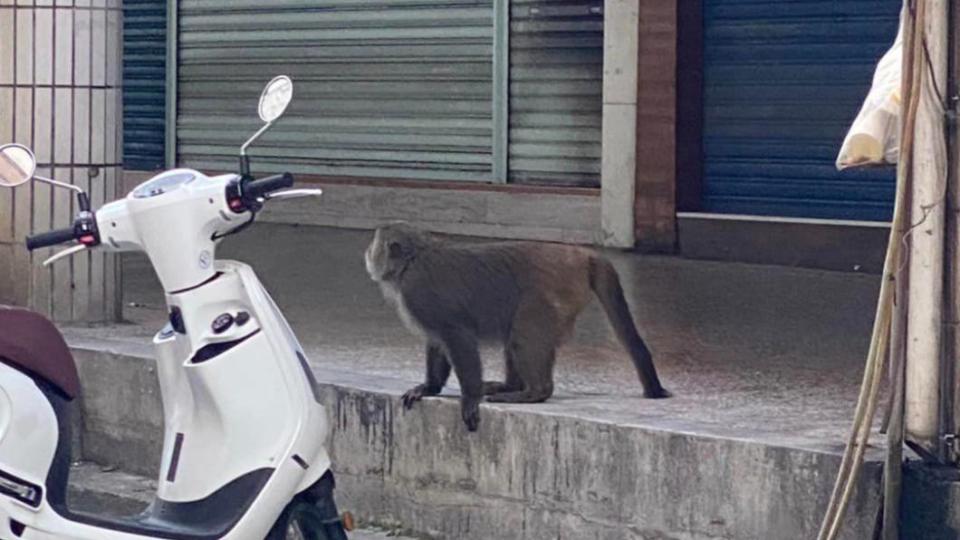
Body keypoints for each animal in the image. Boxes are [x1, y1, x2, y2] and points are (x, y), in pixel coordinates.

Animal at [364, 223, 672, 430]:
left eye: (374, 243)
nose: (366, 252)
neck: (414, 259)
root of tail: (580, 255)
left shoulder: (417, 289)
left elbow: (456, 335)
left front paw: (470, 397)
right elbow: (438, 340)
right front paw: (429, 387)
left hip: (555, 293)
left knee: (523, 334)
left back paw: (533, 392)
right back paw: (509, 385)